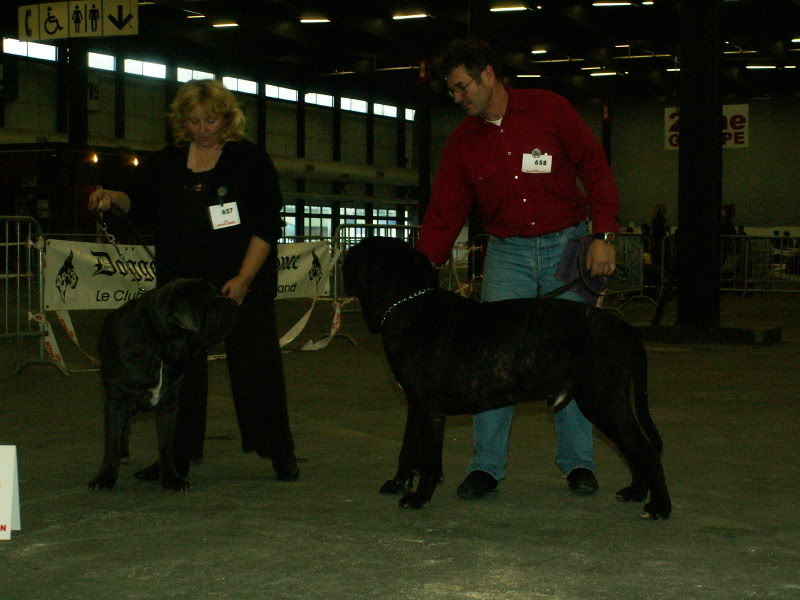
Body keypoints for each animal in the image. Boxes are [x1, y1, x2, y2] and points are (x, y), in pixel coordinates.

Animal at [88, 278, 238, 490]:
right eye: (207, 302)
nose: (232, 302)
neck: (158, 348)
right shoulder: (117, 400)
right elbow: (111, 442)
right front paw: (104, 477)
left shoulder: (169, 404)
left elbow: (166, 445)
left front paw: (171, 478)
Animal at [342, 237, 668, 516]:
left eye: (355, 253)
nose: (343, 255)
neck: (408, 303)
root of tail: (625, 329)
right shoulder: (415, 403)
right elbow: (408, 449)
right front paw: (398, 483)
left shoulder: (430, 407)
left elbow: (430, 459)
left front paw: (419, 497)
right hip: (610, 404)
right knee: (635, 449)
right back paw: (636, 492)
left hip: (603, 401)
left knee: (646, 451)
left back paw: (659, 507)